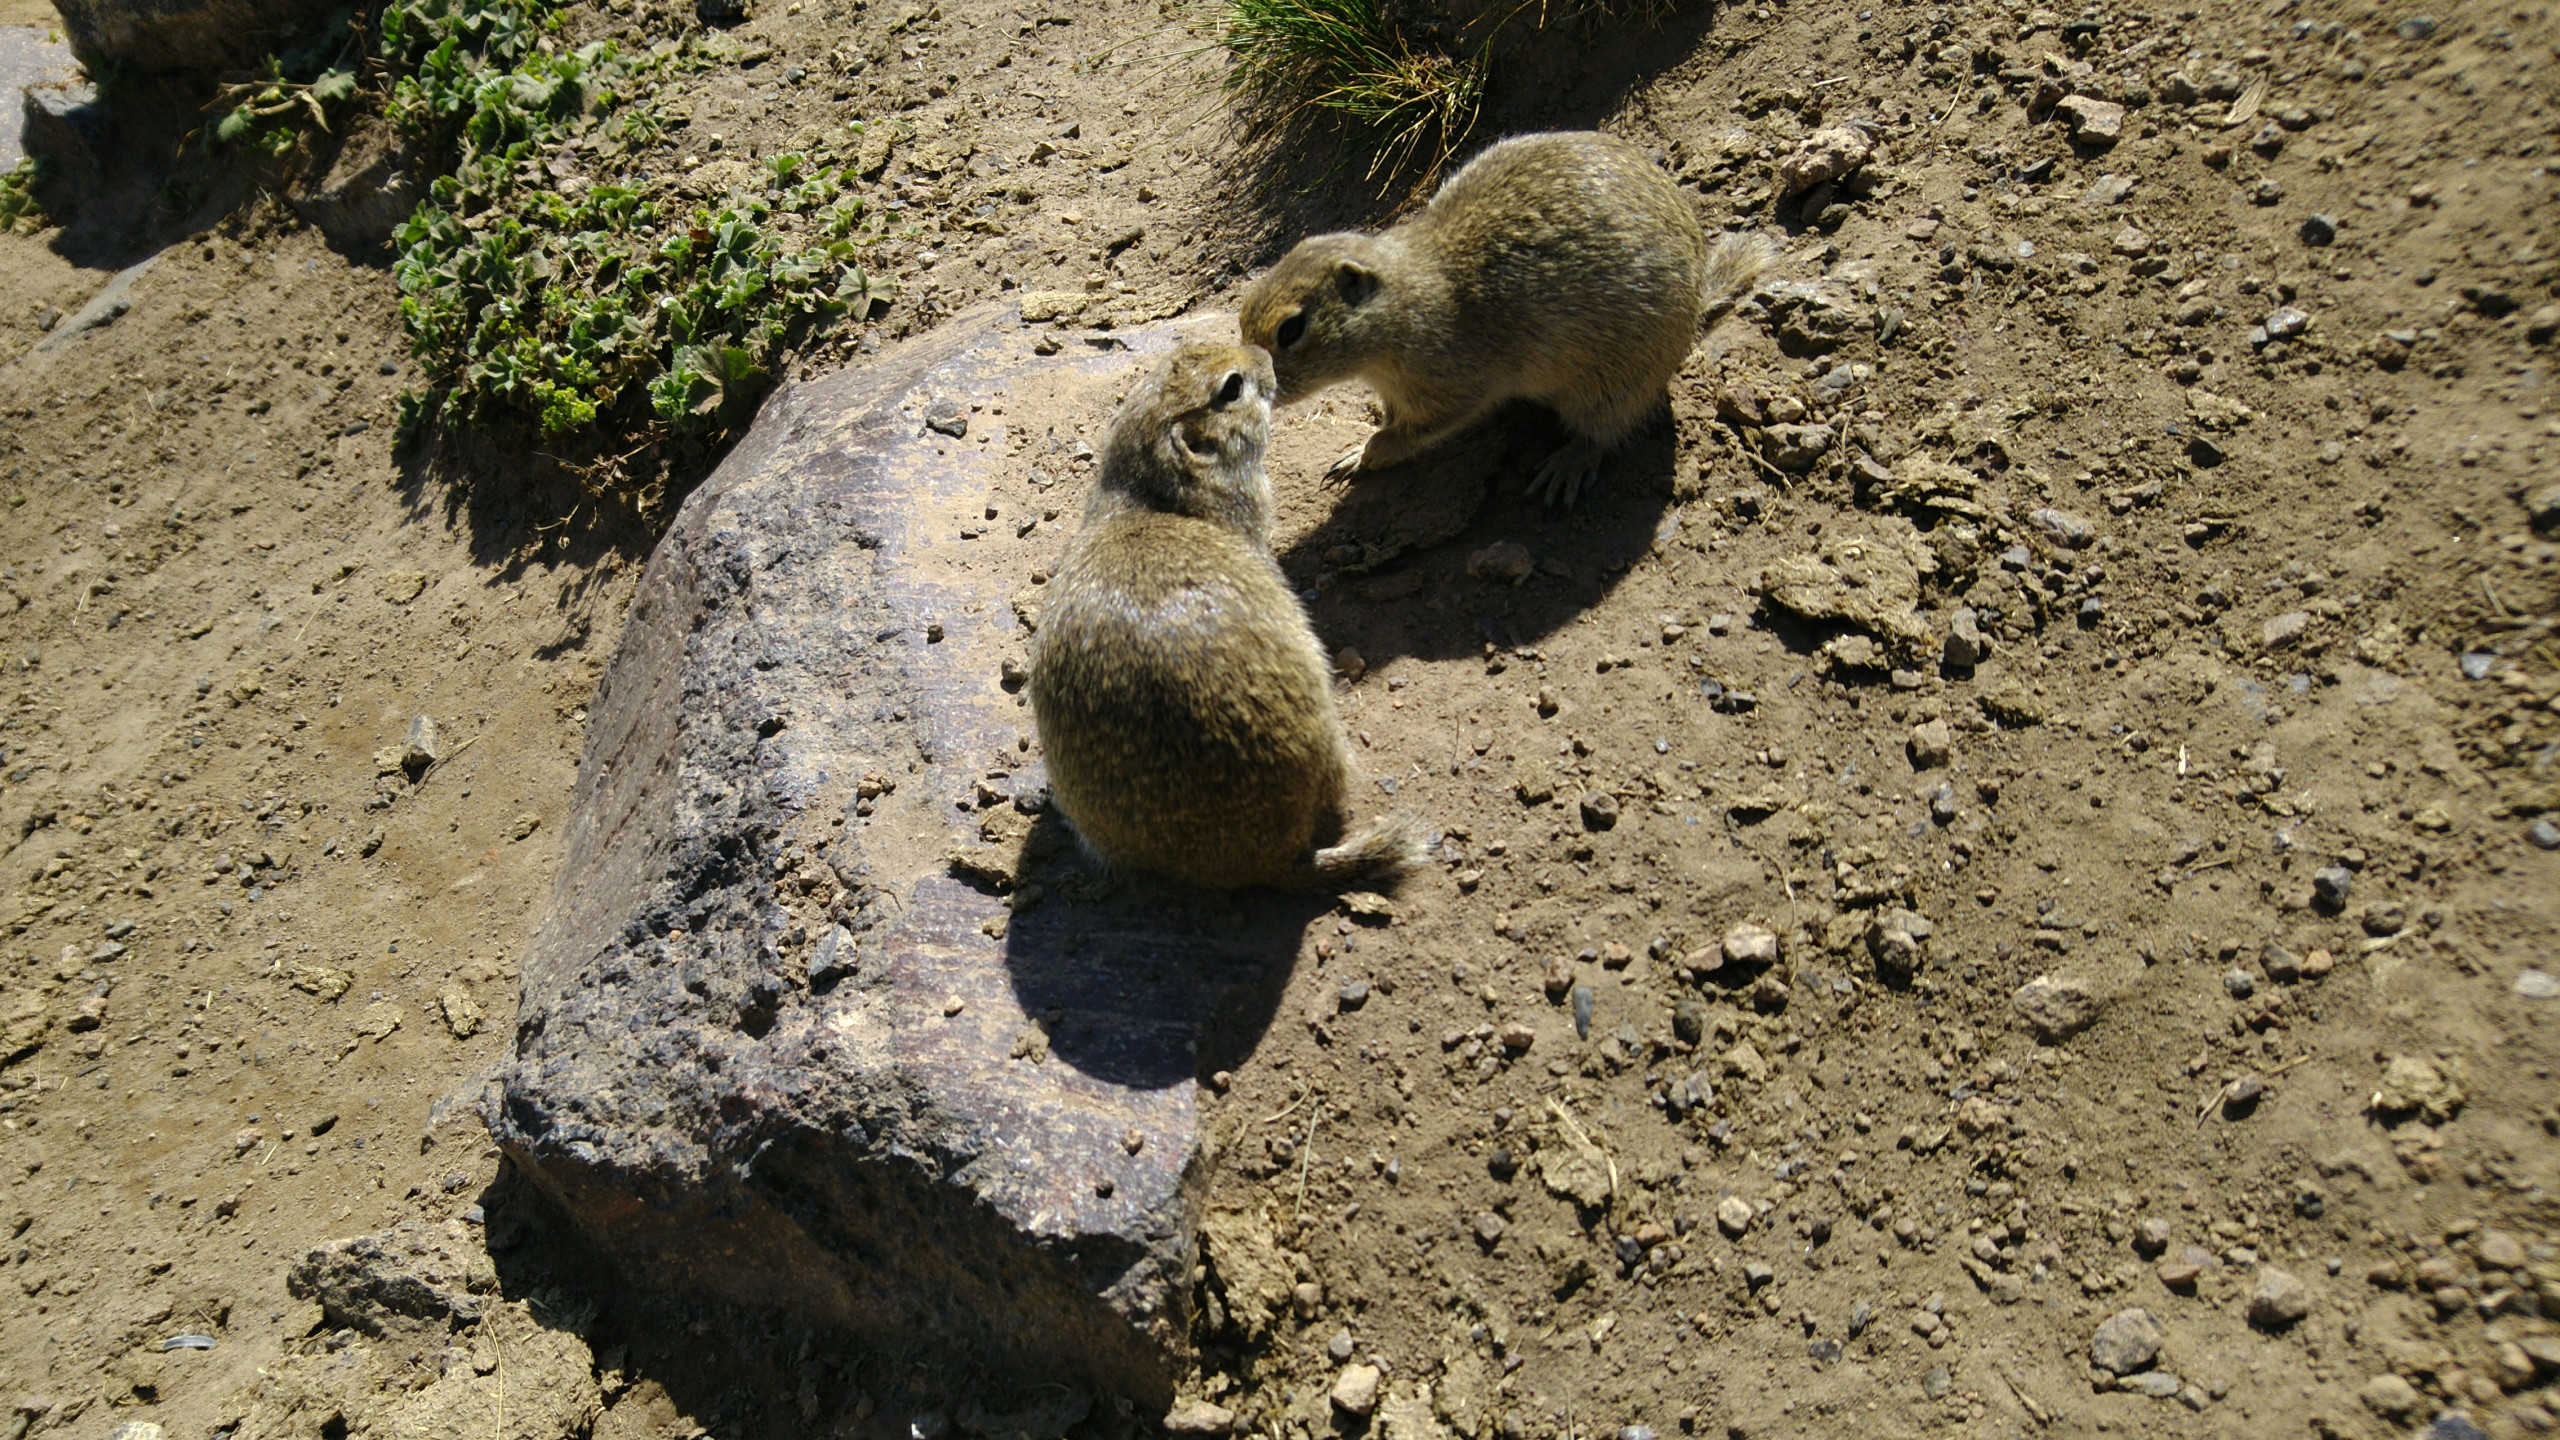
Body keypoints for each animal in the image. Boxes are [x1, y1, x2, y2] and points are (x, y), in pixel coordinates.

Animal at [1240, 129, 1776, 507]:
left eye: (1291, 330)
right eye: (1242, 315)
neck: (1408, 304)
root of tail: (1699, 297)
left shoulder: (1454, 389)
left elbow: (1408, 432)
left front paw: (1368, 452)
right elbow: (1391, 418)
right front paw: (1359, 446)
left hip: (1615, 384)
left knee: (1602, 432)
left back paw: (1567, 466)